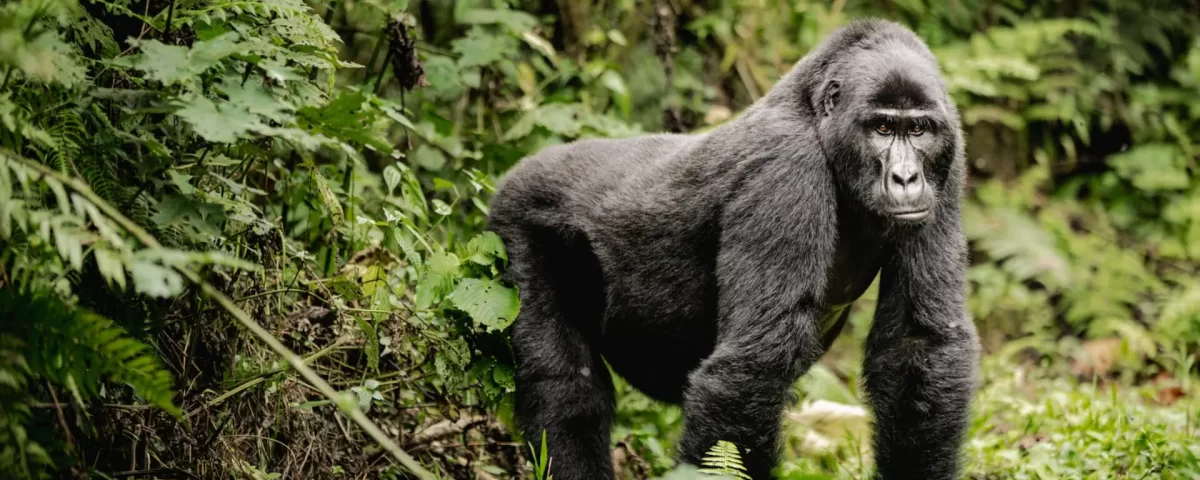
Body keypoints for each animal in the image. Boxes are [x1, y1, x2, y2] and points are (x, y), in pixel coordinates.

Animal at [487, 19, 980, 480]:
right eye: (881, 127)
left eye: (919, 130)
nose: (906, 178)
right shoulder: (785, 170)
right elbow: (753, 365)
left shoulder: (949, 158)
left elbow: (918, 344)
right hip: (518, 218)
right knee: (565, 386)